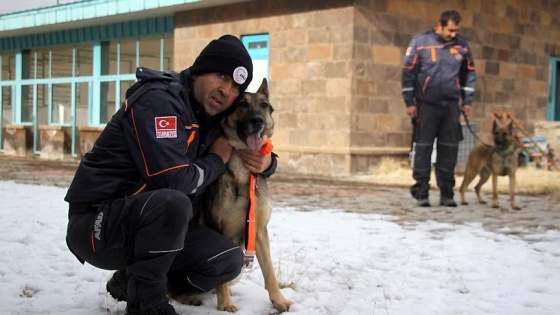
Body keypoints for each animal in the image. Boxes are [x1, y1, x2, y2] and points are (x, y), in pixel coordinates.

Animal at [175, 79, 296, 314]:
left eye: (264, 105)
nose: (258, 120)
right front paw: (225, 304)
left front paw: (279, 300)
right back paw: (188, 297)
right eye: (241, 104)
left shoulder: (259, 231)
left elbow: (270, 272)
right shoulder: (218, 229)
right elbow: (222, 278)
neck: (242, 168)